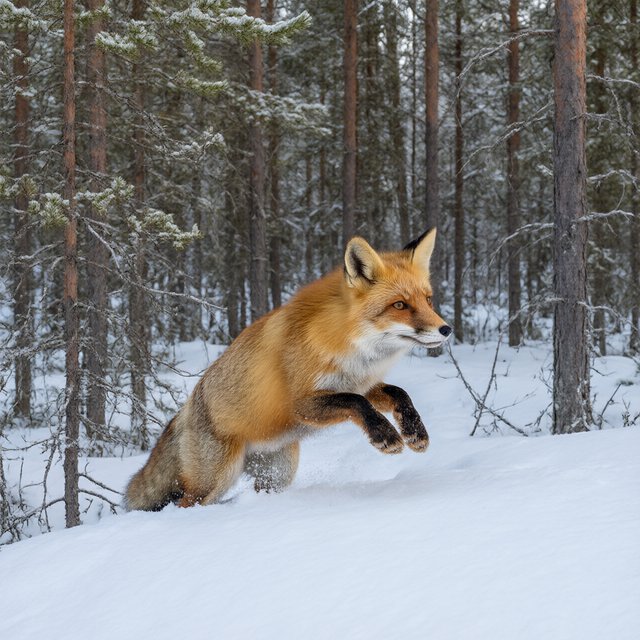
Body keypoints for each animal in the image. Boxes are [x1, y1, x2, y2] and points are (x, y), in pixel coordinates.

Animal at [124, 228, 452, 511]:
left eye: (428, 299)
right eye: (400, 305)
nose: (446, 329)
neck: (346, 343)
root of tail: (187, 407)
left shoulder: (362, 382)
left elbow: (399, 393)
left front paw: (414, 430)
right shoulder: (301, 403)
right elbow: (355, 402)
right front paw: (384, 435)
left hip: (276, 475)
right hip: (214, 480)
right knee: (185, 503)